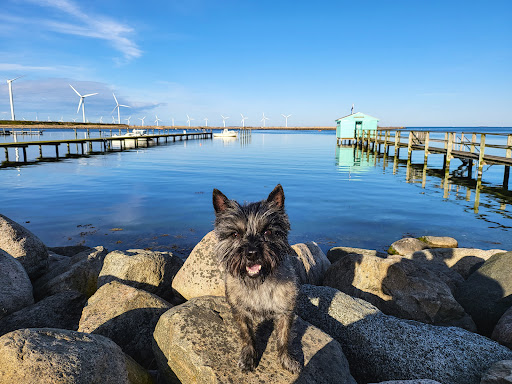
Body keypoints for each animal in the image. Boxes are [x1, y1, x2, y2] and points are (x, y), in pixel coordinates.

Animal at [213, 184, 302, 374]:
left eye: (267, 231)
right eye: (235, 234)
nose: (252, 253)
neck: (258, 283)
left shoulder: (285, 312)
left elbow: (284, 338)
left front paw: (286, 360)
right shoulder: (240, 311)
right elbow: (247, 335)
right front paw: (248, 358)